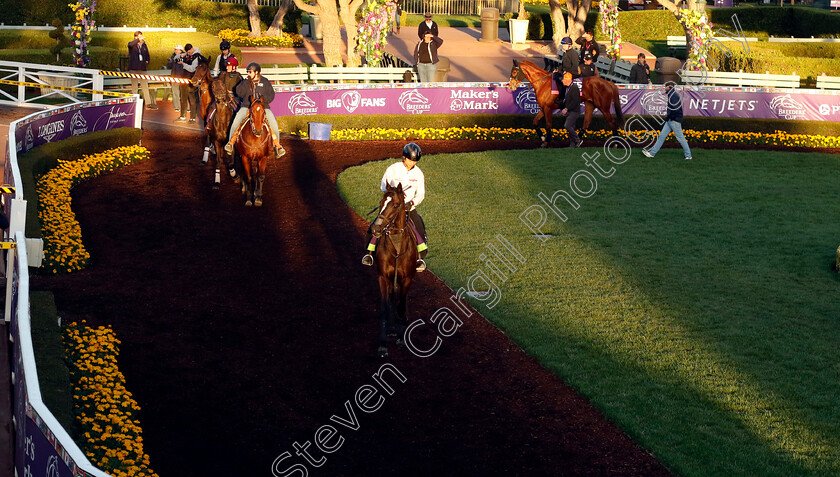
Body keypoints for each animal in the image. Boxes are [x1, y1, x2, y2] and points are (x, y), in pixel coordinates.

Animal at [370, 182, 418, 356]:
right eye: (381, 202)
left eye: (396, 205)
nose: (376, 230)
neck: (397, 249)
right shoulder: (383, 277)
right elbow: (385, 307)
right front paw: (383, 343)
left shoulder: (407, 278)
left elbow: (401, 307)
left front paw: (401, 337)